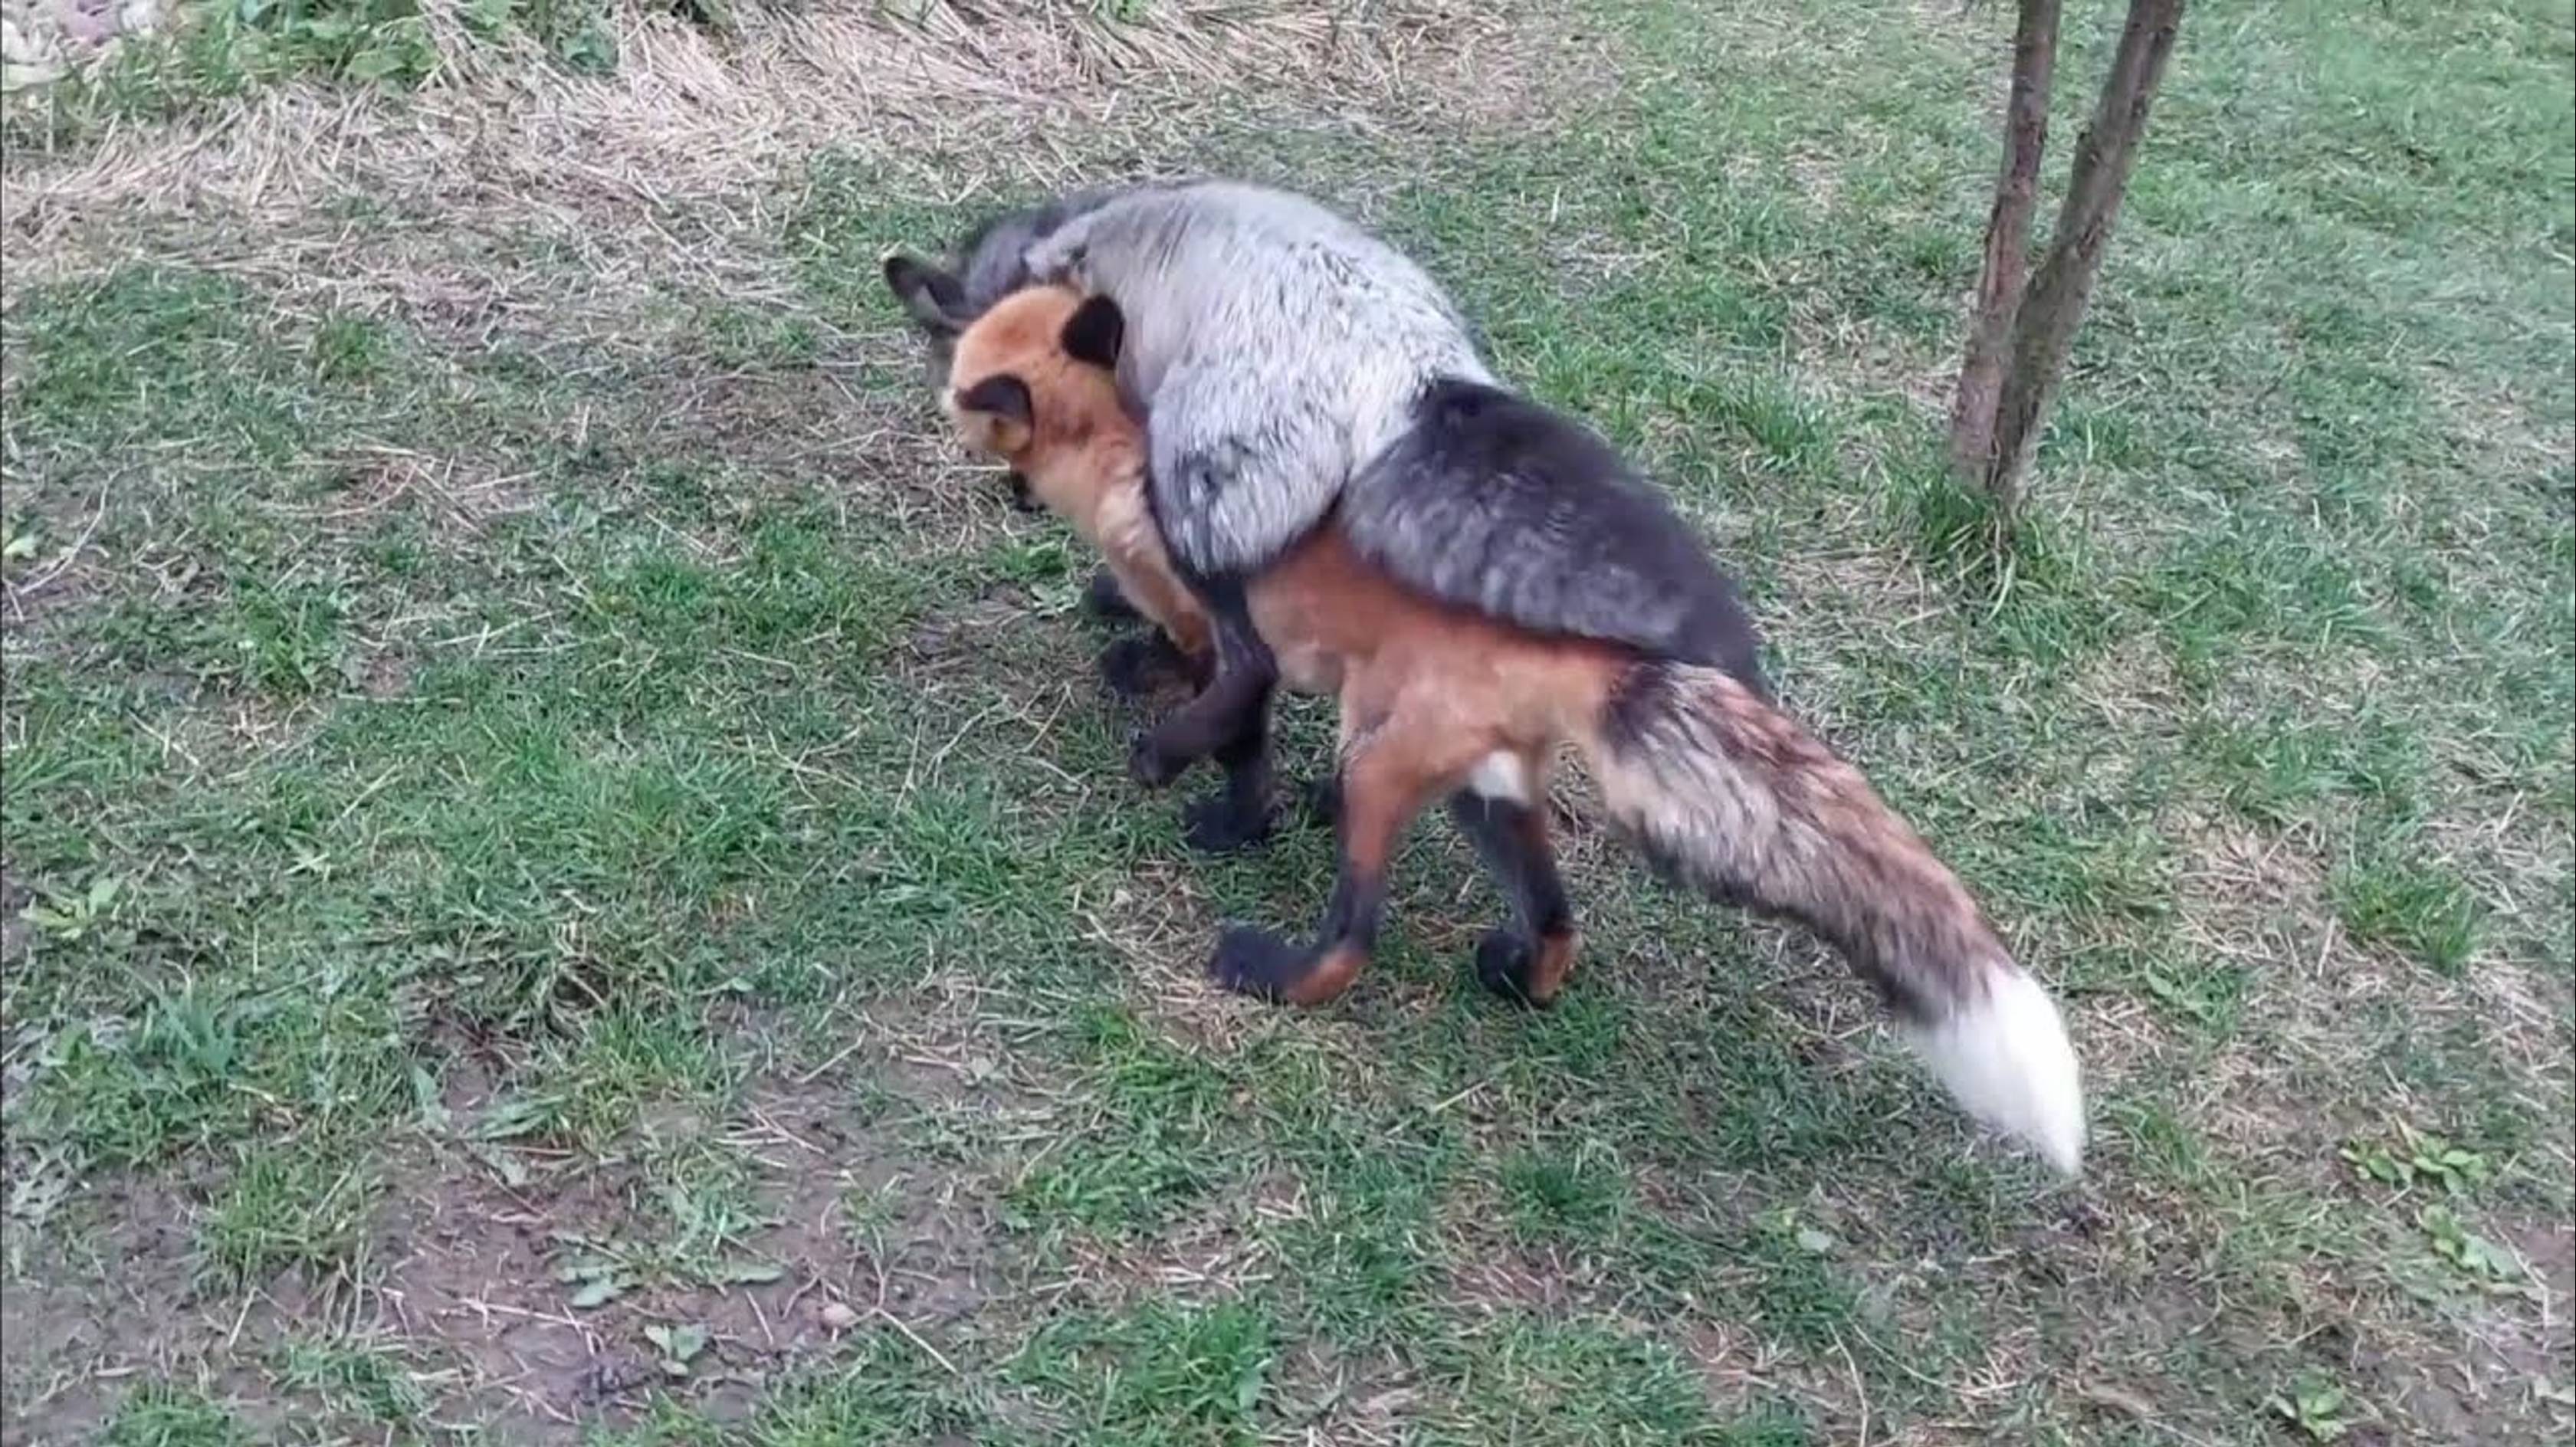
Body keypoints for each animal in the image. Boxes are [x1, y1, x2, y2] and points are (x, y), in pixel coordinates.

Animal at [939, 281, 2089, 1178]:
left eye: (960, 395)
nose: (1007, 498)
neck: (1125, 450)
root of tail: (1588, 654)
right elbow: (1198, 697)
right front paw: (1195, 760)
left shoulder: (1232, 627)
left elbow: (1222, 718)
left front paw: (1186, 781)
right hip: (1479, 794)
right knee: (1558, 919)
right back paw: (1517, 976)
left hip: (1381, 769)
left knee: (1353, 940)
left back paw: (1275, 971)